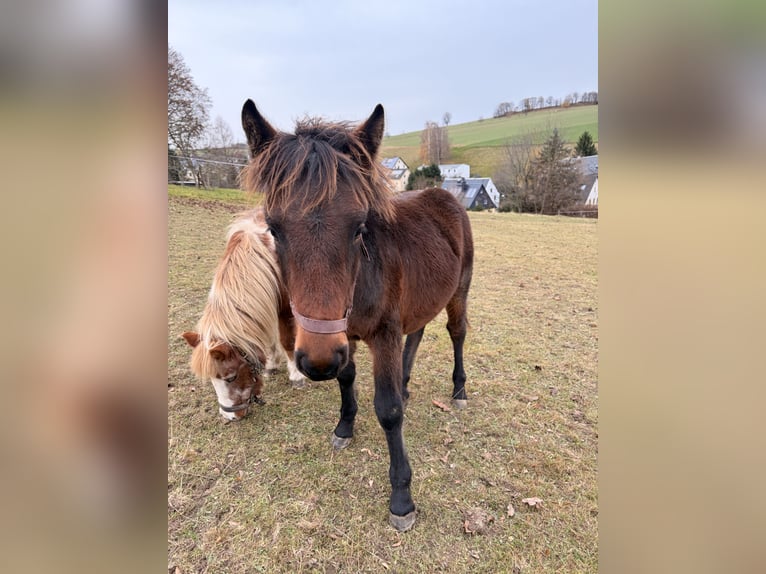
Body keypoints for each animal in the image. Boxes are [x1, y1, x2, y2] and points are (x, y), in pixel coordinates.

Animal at [182, 207, 305, 421]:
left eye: (231, 377)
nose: (230, 417)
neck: (266, 255)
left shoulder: (285, 309)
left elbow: (287, 341)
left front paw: (296, 376)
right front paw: (271, 365)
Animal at [240, 100, 474, 531]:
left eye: (359, 227)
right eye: (274, 229)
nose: (315, 363)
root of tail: (444, 195)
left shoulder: (383, 334)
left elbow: (389, 410)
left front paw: (401, 497)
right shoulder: (343, 337)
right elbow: (347, 378)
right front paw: (345, 426)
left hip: (459, 292)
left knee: (456, 332)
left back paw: (459, 391)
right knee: (418, 332)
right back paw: (407, 382)